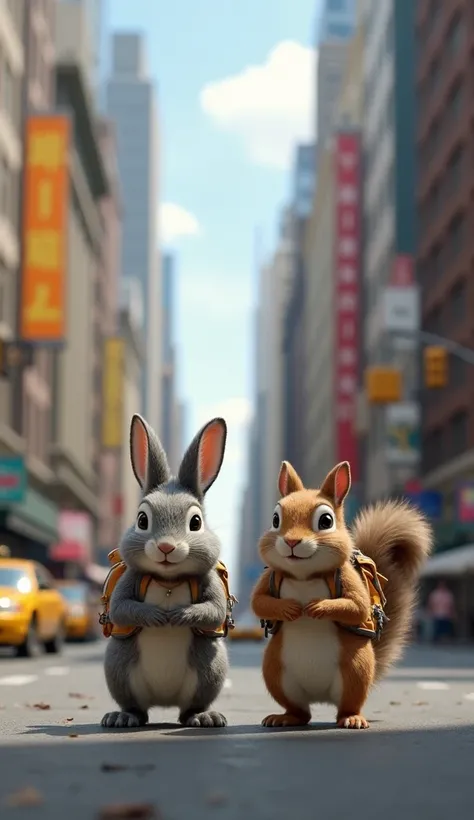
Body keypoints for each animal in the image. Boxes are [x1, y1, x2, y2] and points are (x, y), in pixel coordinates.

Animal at [101, 414, 231, 728]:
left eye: (196, 522)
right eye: (142, 519)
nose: (166, 547)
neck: (168, 580)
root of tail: (164, 701)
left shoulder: (208, 582)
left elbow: (214, 610)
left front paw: (180, 615)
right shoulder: (130, 580)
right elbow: (121, 608)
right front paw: (157, 616)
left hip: (209, 670)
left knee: (190, 708)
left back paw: (203, 716)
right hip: (119, 668)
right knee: (136, 707)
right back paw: (123, 716)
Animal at [252, 462, 434, 732]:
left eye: (326, 521)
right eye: (275, 520)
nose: (292, 541)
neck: (304, 576)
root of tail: (319, 696)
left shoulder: (347, 577)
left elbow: (357, 606)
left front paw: (318, 607)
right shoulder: (271, 577)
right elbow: (259, 602)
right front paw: (288, 608)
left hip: (355, 671)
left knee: (348, 705)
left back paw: (352, 719)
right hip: (275, 673)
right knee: (301, 712)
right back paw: (284, 718)